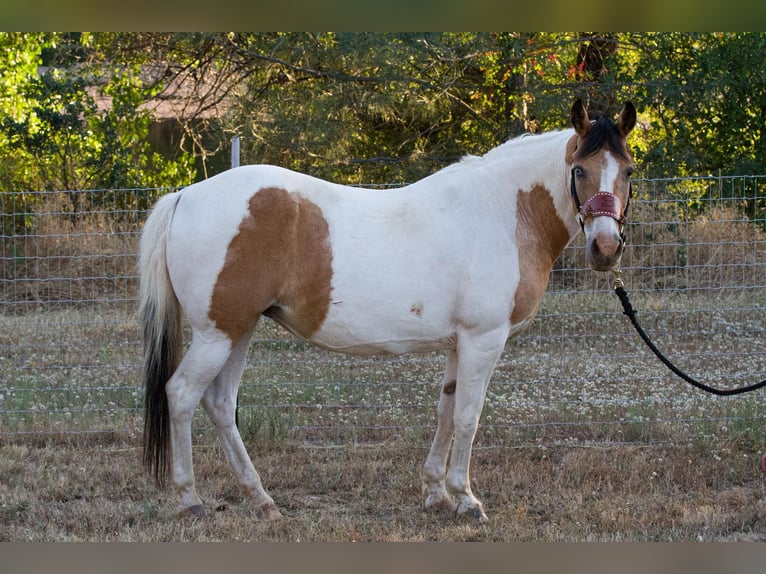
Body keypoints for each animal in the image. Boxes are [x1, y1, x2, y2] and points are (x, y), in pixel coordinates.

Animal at [141, 100, 640, 528]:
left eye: (628, 171)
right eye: (579, 169)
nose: (606, 249)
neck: (504, 212)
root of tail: (184, 196)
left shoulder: (459, 343)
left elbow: (446, 410)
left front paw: (437, 494)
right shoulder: (483, 339)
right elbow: (468, 416)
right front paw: (467, 500)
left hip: (238, 331)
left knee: (220, 404)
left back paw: (261, 499)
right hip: (218, 334)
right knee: (182, 395)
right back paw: (190, 499)